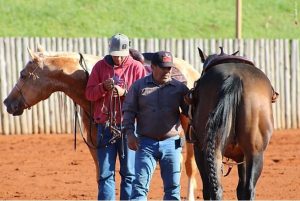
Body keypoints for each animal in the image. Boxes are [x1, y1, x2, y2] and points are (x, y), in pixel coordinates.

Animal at [4, 46, 199, 199]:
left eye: (23, 75)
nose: (7, 103)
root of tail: (191, 70)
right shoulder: (95, 143)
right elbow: (102, 175)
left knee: (189, 166)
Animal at [190, 47, 278, 199]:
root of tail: (235, 77)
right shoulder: (242, 157)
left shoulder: (198, 149)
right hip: (253, 152)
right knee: (245, 188)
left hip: (211, 149)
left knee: (213, 187)